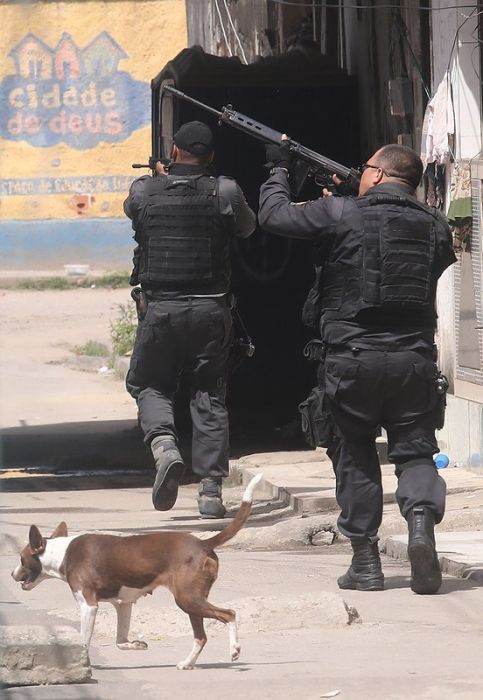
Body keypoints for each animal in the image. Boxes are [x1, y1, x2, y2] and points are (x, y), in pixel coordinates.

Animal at [10, 474, 260, 668]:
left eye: (21, 559)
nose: (12, 575)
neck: (62, 553)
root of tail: (203, 543)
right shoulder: (123, 604)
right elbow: (120, 640)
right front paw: (135, 644)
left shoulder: (88, 605)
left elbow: (84, 638)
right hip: (192, 601)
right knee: (201, 636)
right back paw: (187, 663)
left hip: (187, 598)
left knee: (229, 614)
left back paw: (234, 648)